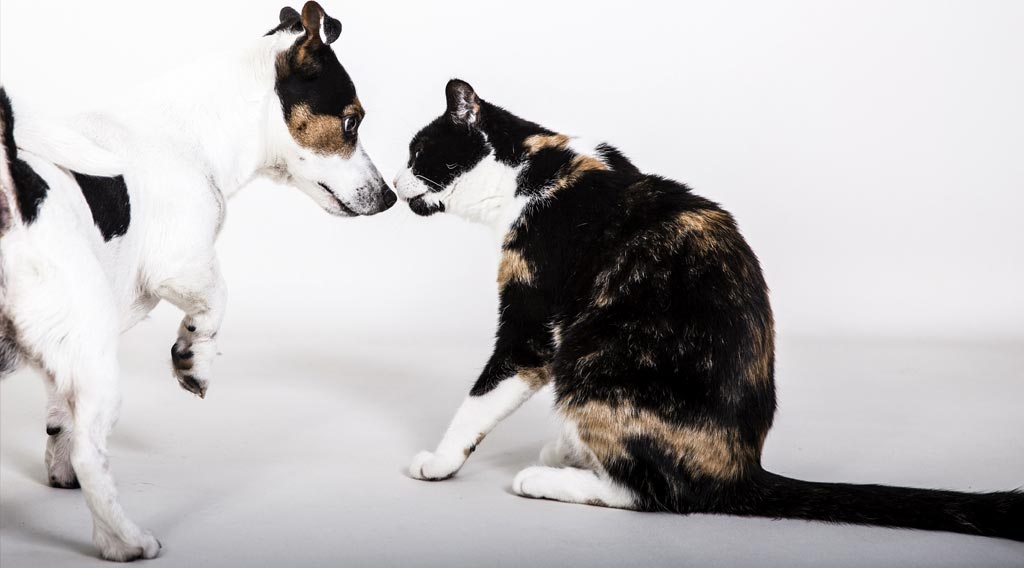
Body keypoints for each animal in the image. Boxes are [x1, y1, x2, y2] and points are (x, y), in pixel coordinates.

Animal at [0, 2, 393, 560]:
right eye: (351, 120)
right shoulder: (181, 264)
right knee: (94, 458)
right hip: (98, 360)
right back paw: (126, 541)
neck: (192, 132)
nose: (390, 197)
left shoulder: (68, 353)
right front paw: (192, 357)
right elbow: (216, 300)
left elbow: (60, 417)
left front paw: (57, 462)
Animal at [391, 78, 1024, 536]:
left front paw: (439, 462)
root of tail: (741, 472)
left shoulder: (531, 323)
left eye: (418, 152)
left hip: (591, 366)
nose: (395, 185)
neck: (533, 169)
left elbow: (478, 400)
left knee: (658, 496)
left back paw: (547, 476)